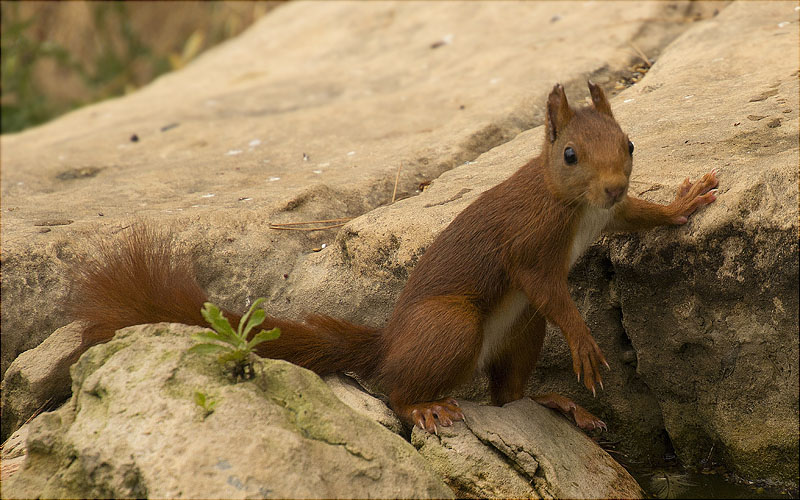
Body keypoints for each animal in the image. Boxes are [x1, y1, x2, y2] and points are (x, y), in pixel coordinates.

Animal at [69, 82, 720, 434]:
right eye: (569, 155)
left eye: (629, 144)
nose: (610, 185)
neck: (576, 209)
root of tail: (387, 344)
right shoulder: (529, 247)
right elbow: (550, 289)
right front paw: (585, 344)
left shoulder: (609, 215)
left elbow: (640, 213)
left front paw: (683, 203)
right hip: (451, 323)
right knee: (399, 391)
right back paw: (427, 408)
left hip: (520, 332)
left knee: (507, 396)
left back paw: (555, 403)